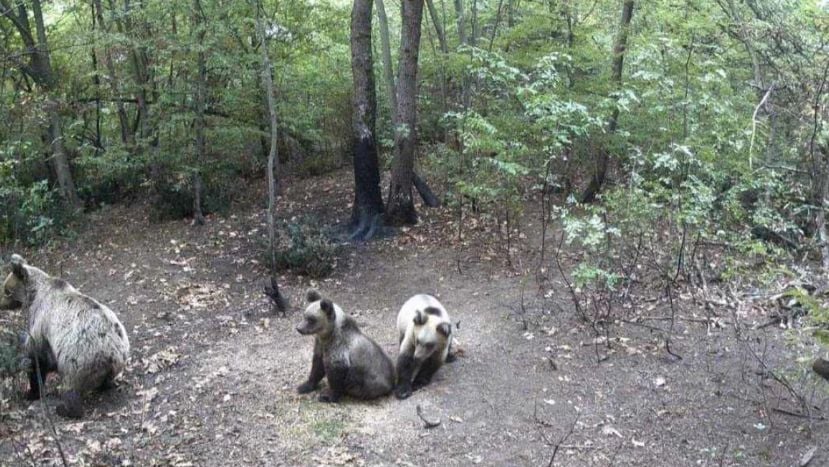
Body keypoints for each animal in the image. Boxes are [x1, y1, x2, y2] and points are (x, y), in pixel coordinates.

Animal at [0, 256, 129, 420]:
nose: (0, 303)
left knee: (70, 385)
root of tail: (113, 351)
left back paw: (64, 408)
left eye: (6, 290)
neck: (34, 294)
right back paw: (104, 386)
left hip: (78, 356)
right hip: (116, 357)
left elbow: (37, 358)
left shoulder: (42, 322)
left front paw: (31, 392)